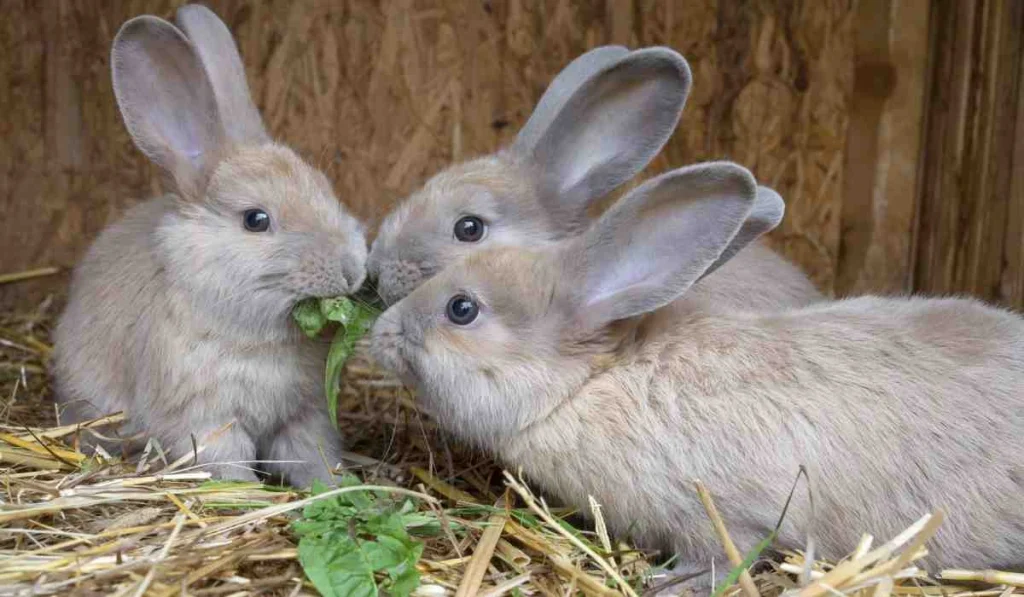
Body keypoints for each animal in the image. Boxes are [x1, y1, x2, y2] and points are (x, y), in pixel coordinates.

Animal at [51, 5, 367, 488]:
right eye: (256, 220)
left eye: (325, 188)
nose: (352, 268)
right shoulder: (207, 419)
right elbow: (227, 462)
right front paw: (246, 492)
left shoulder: (303, 415)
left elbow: (312, 457)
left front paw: (335, 487)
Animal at [370, 160, 1024, 583]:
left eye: (462, 309)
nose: (380, 332)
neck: (586, 386)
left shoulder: (720, 513)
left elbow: (723, 554)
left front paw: (667, 582)